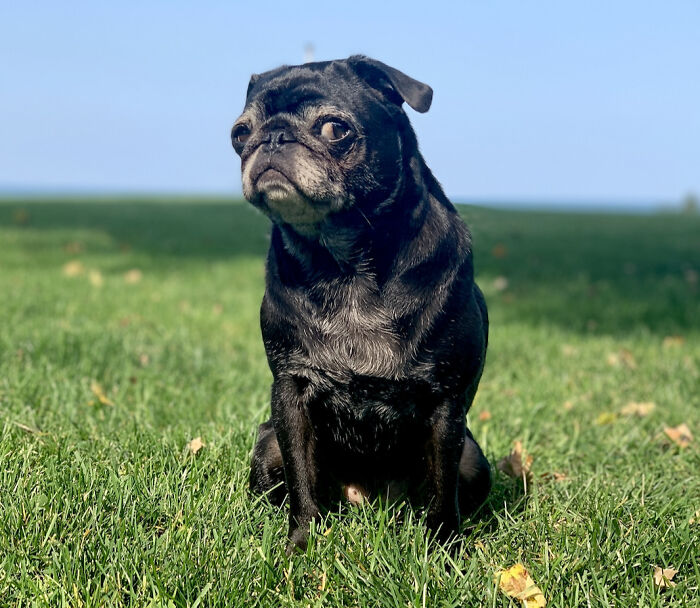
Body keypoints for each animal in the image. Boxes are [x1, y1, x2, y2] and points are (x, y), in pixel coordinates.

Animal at [232, 55, 490, 552]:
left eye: (335, 129)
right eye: (239, 133)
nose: (272, 137)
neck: (345, 263)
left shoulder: (446, 403)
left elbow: (442, 486)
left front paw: (443, 548)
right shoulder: (290, 393)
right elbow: (302, 479)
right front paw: (301, 544)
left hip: (474, 459)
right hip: (267, 445)